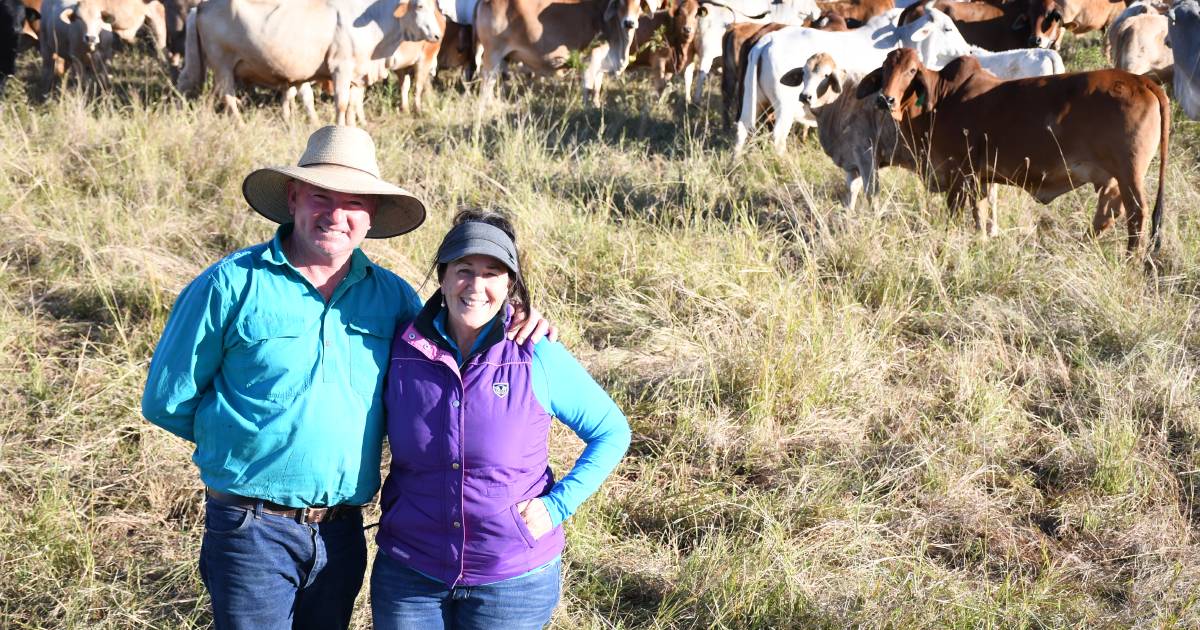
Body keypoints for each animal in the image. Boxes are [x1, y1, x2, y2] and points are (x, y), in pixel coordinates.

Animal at [175, 0, 444, 125]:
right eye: (420, 5)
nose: (437, 35)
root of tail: (201, 6)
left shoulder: (357, 73)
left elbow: (353, 105)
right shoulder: (340, 68)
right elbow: (342, 105)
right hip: (222, 65)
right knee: (228, 97)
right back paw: (240, 125)